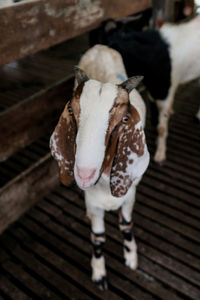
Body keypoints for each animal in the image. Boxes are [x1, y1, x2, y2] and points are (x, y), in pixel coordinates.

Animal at [50, 45, 149, 290]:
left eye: (124, 119)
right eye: (72, 112)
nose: (84, 174)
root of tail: (99, 47)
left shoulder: (130, 193)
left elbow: (125, 224)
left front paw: (131, 257)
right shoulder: (92, 202)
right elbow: (97, 236)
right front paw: (99, 273)